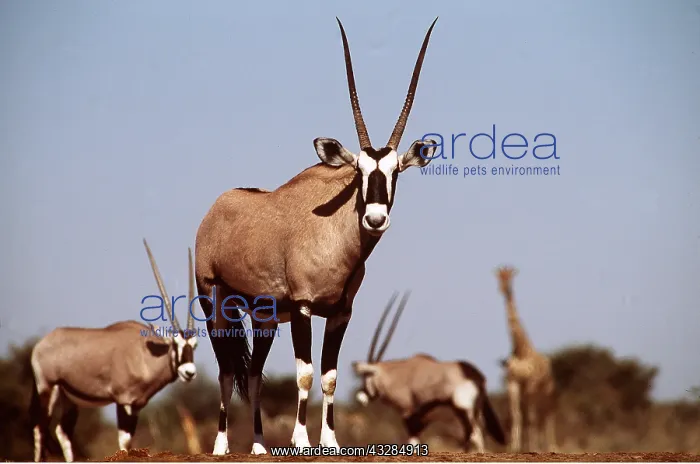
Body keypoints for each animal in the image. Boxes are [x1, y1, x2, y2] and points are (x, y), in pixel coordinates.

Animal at [495, 265, 557, 453]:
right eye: (498, 277)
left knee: (547, 415)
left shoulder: (531, 384)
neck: (520, 349)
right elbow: (517, 415)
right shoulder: (512, 383)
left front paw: (533, 448)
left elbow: (531, 418)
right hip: (532, 392)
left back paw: (552, 446)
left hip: (547, 390)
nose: (502, 289)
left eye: (510, 278)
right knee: (541, 416)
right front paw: (513, 447)